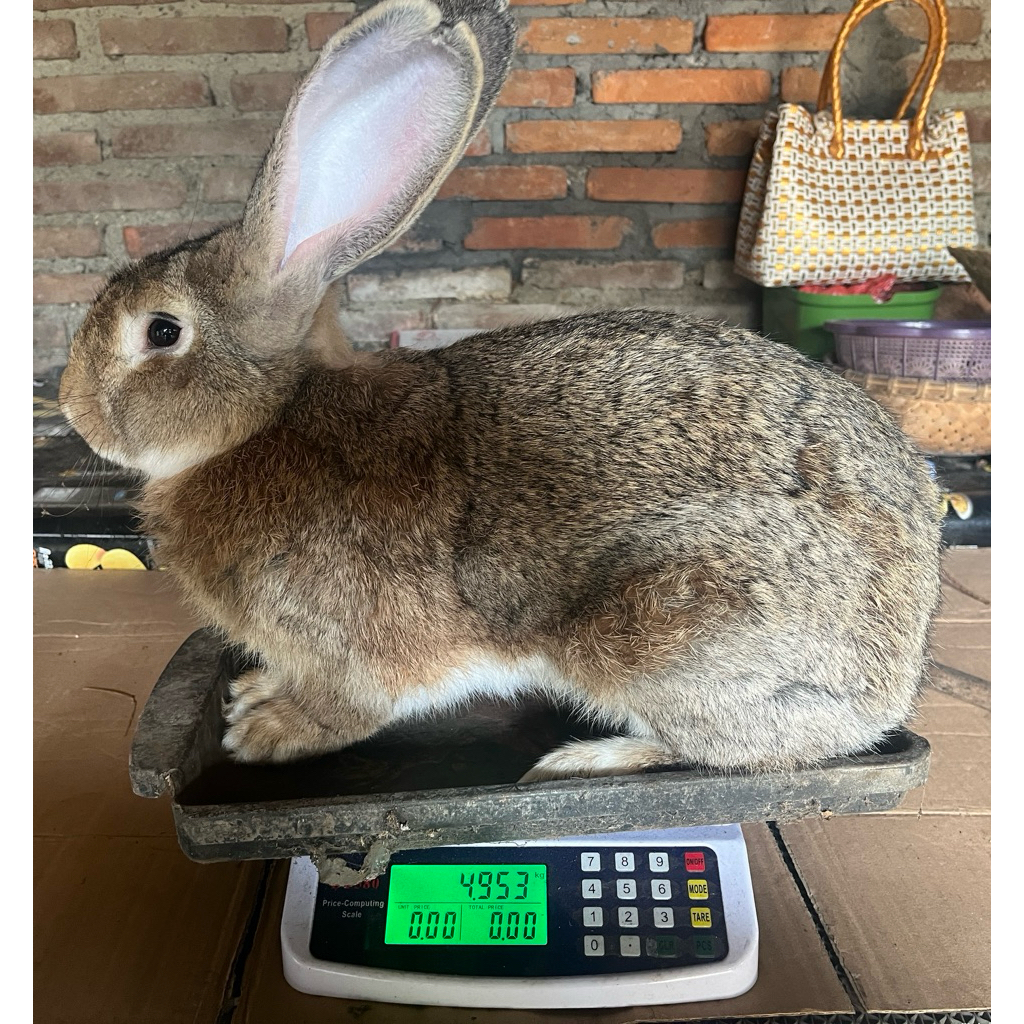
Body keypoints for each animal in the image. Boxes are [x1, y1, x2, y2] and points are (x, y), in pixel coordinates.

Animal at [59, 0, 943, 783]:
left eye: (161, 332)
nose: (71, 407)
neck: (263, 420)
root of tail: (896, 679)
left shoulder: (348, 649)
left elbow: (349, 707)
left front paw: (267, 731)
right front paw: (253, 691)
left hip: (665, 634)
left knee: (735, 749)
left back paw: (584, 760)